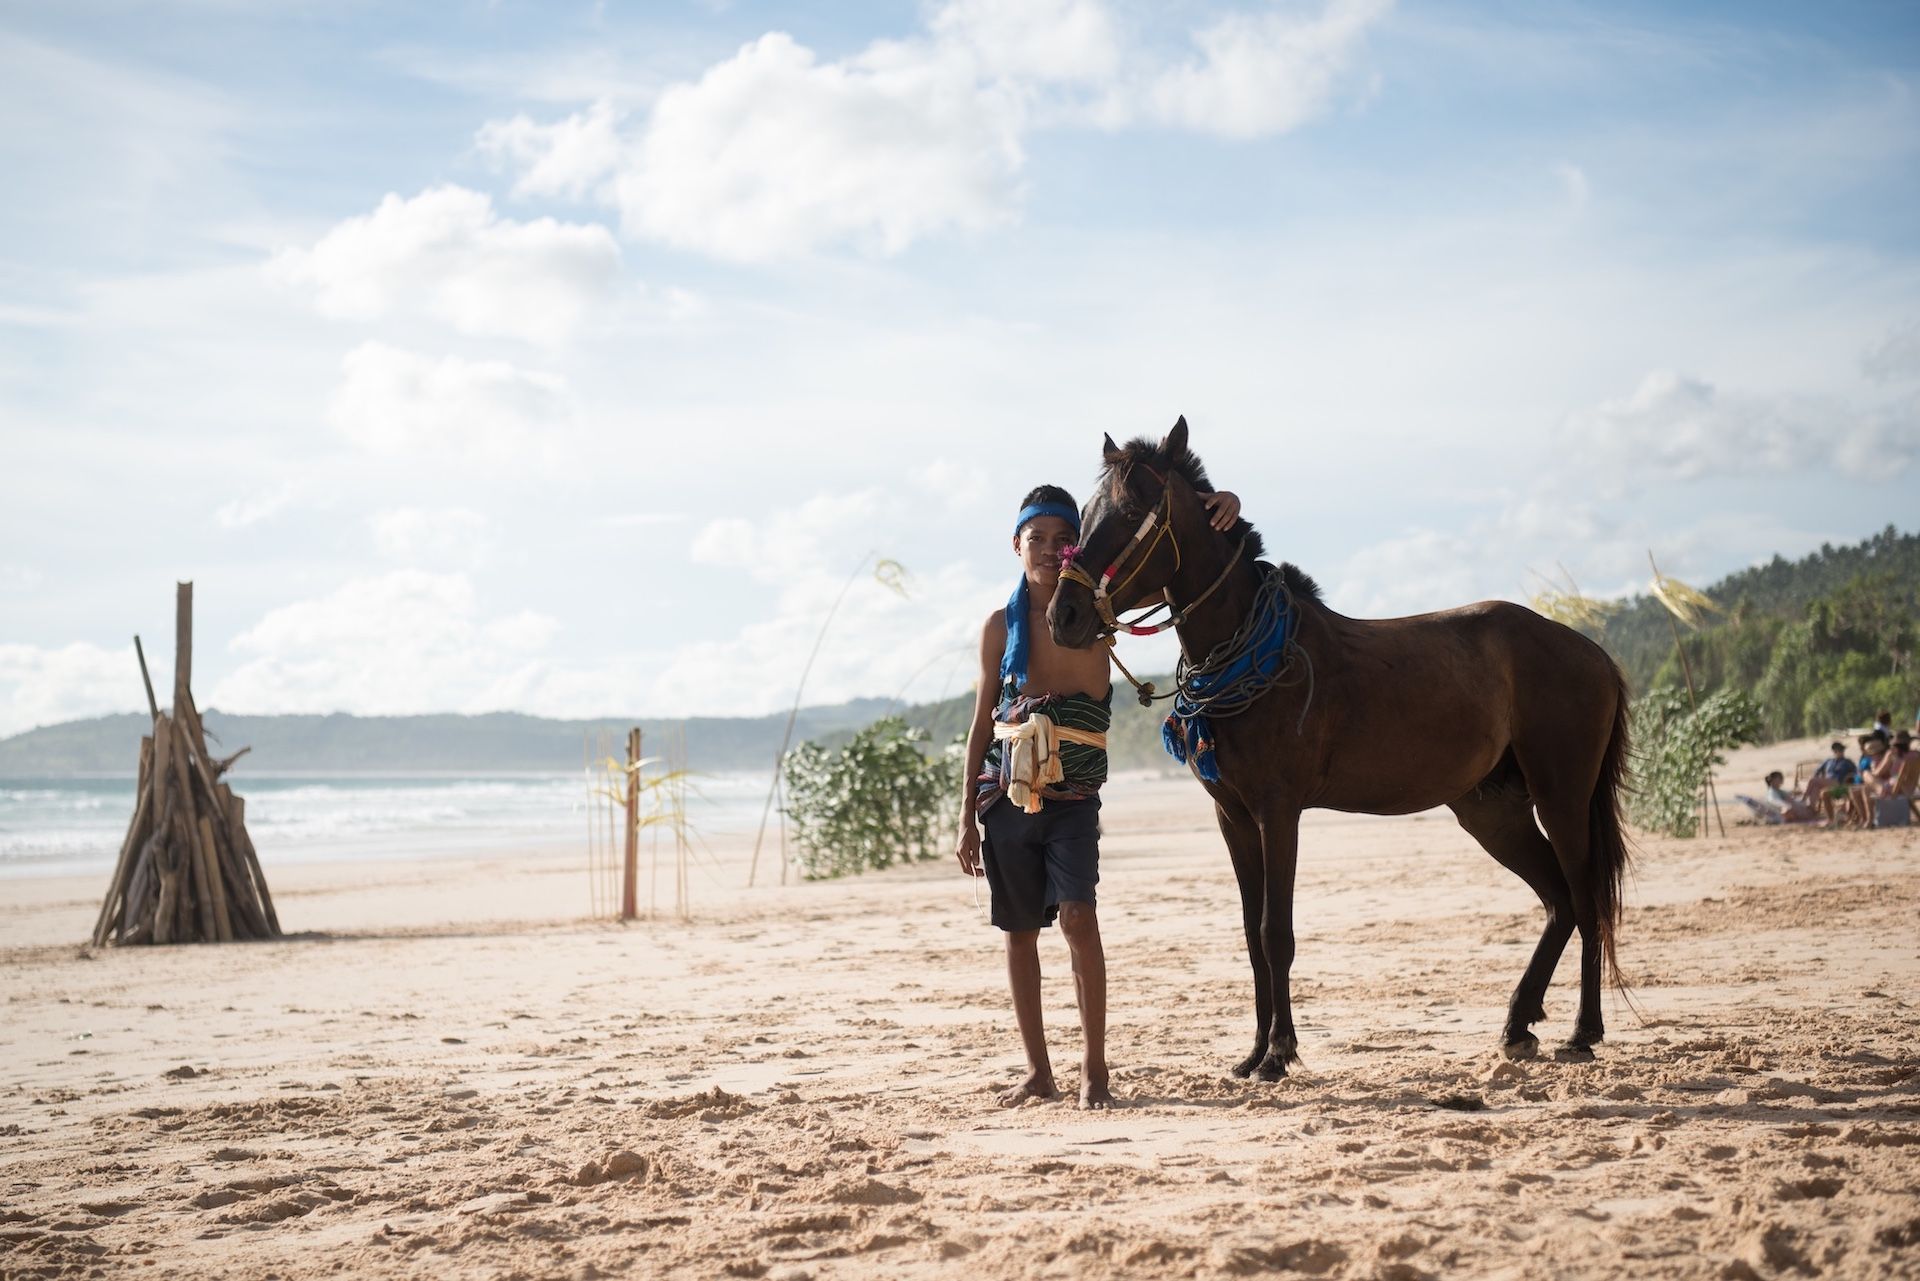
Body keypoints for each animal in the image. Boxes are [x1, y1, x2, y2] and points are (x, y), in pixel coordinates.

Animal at [1048, 418, 1631, 1079]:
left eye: (1129, 512)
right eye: (1085, 514)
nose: (1065, 614)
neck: (1262, 654)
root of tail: (1592, 651)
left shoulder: (1279, 812)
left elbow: (1276, 932)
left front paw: (1280, 1051)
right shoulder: (1233, 817)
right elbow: (1251, 933)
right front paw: (1255, 1050)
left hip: (1563, 798)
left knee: (1585, 899)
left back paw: (1583, 1030)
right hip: (1492, 811)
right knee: (1560, 903)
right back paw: (1518, 1023)